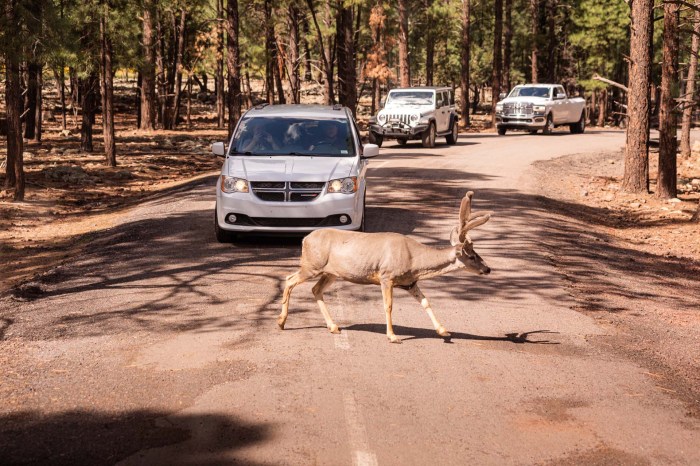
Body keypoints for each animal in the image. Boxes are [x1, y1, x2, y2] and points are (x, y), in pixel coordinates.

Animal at [278, 190, 492, 342]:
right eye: (472, 256)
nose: (487, 269)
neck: (414, 259)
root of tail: (305, 239)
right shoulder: (386, 276)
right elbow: (388, 306)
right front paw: (393, 336)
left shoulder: (410, 282)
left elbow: (426, 302)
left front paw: (443, 330)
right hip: (311, 264)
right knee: (289, 279)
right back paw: (281, 322)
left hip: (331, 273)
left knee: (315, 289)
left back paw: (334, 326)